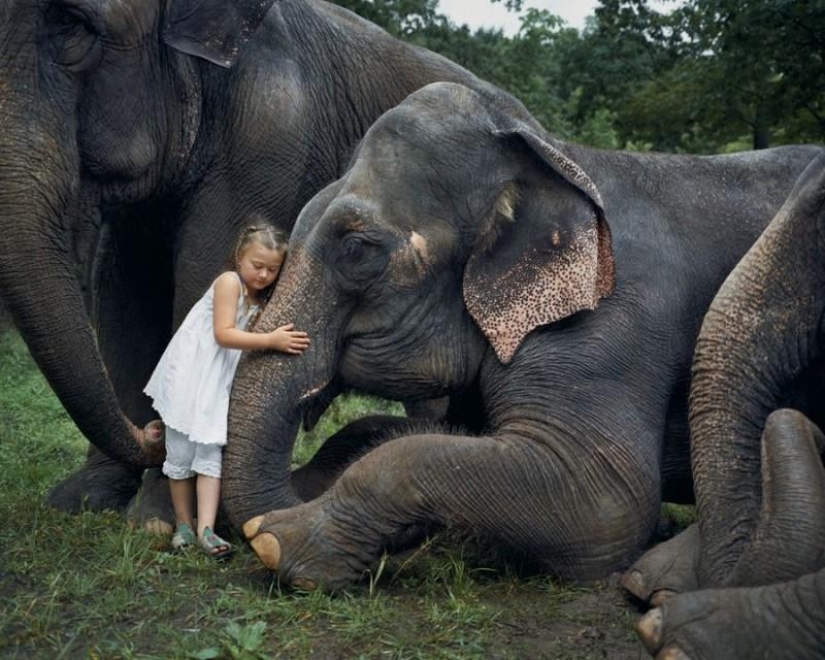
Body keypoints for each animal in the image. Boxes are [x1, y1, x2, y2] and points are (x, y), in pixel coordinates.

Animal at [0, 0, 482, 516]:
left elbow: (201, 277)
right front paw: (82, 501)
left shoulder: (271, 138)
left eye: (73, 24)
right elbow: (122, 297)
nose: (151, 431)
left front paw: (155, 518)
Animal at [220, 80, 824, 592]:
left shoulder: (609, 324)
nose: (259, 522)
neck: (556, 155)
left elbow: (606, 499)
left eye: (357, 249)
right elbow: (406, 430)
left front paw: (279, 539)